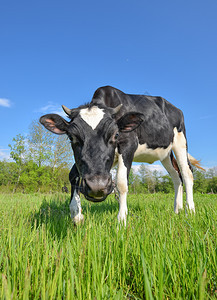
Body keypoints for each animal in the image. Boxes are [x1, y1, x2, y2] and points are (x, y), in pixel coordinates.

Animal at [39, 85, 203, 224]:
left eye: (116, 134)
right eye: (71, 137)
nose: (97, 186)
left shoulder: (129, 144)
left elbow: (121, 183)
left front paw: (121, 220)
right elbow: (73, 175)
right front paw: (76, 214)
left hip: (180, 141)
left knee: (187, 173)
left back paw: (190, 210)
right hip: (165, 153)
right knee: (176, 177)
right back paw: (177, 210)